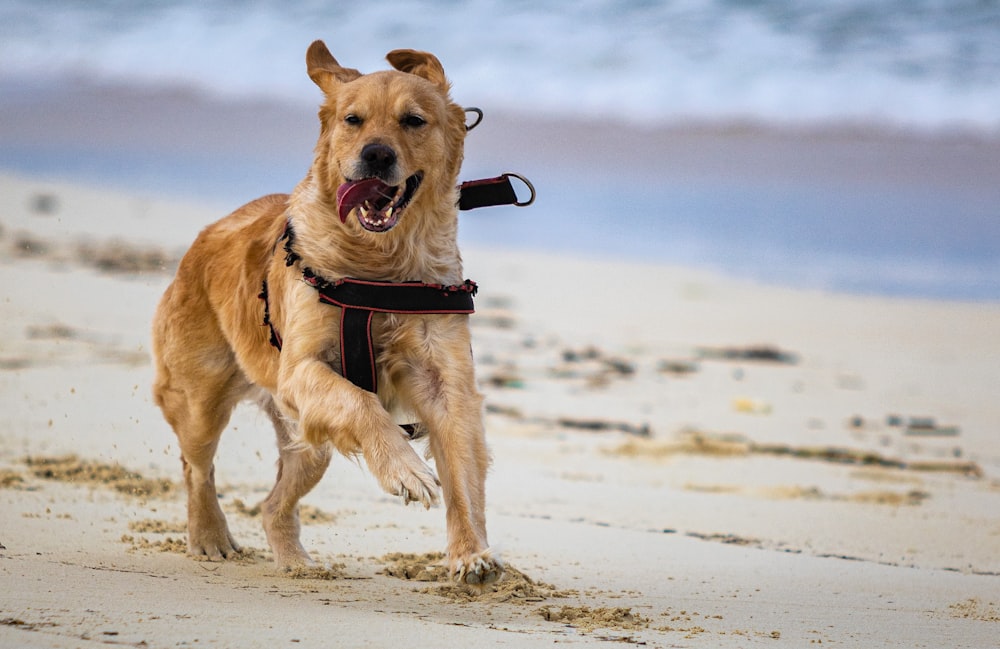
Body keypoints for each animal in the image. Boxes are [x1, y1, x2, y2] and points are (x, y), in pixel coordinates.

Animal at [150, 41, 500, 588]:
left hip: (308, 443)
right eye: (353, 119)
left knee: (274, 504)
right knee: (197, 467)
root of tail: (204, 238)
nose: (376, 154)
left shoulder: (447, 384)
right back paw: (209, 536)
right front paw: (406, 471)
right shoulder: (300, 370)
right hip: (201, 396)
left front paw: (470, 554)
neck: (379, 269)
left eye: (414, 120)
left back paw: (295, 563)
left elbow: (463, 474)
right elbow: (361, 402)